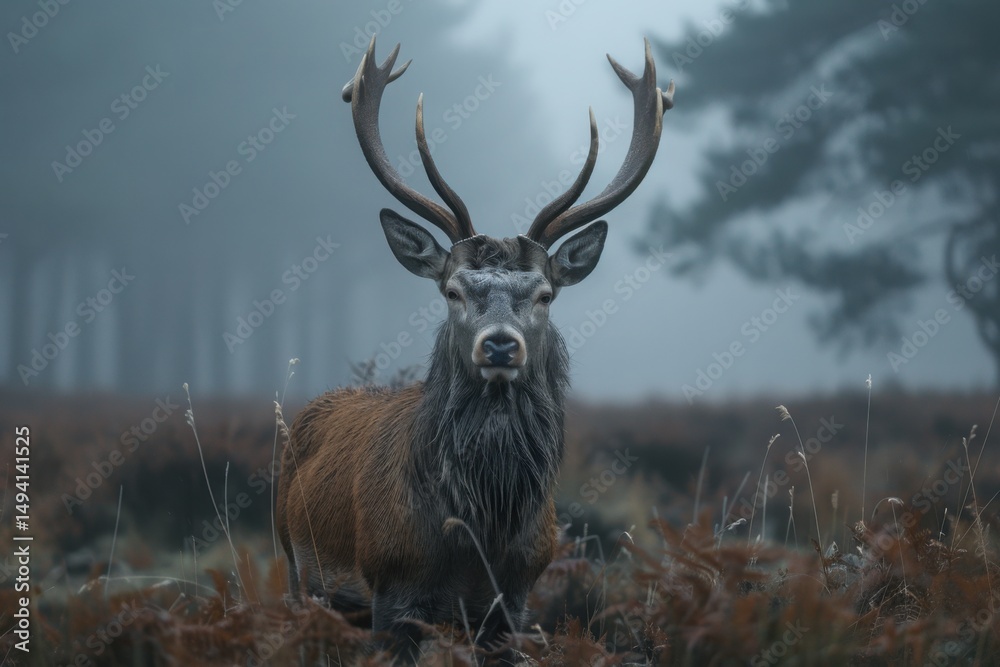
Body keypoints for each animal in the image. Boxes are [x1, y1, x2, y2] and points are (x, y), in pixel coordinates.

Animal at [276, 36, 673, 662]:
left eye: (544, 294)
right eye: (454, 290)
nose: (501, 345)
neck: (477, 537)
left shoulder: (512, 604)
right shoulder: (391, 593)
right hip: (295, 569)